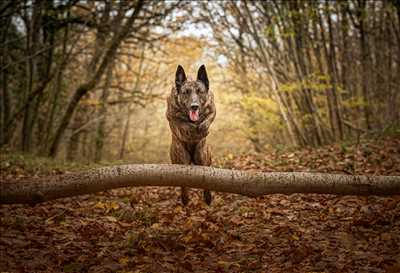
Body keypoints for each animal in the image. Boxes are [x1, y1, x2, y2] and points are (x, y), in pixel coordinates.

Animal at [166, 64, 216, 204]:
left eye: (200, 91)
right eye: (186, 92)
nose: (194, 106)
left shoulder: (212, 108)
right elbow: (182, 123)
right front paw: (191, 128)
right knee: (183, 183)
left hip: (202, 155)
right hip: (180, 158)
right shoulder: (171, 115)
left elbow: (207, 119)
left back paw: (208, 197)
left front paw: (202, 128)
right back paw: (185, 198)